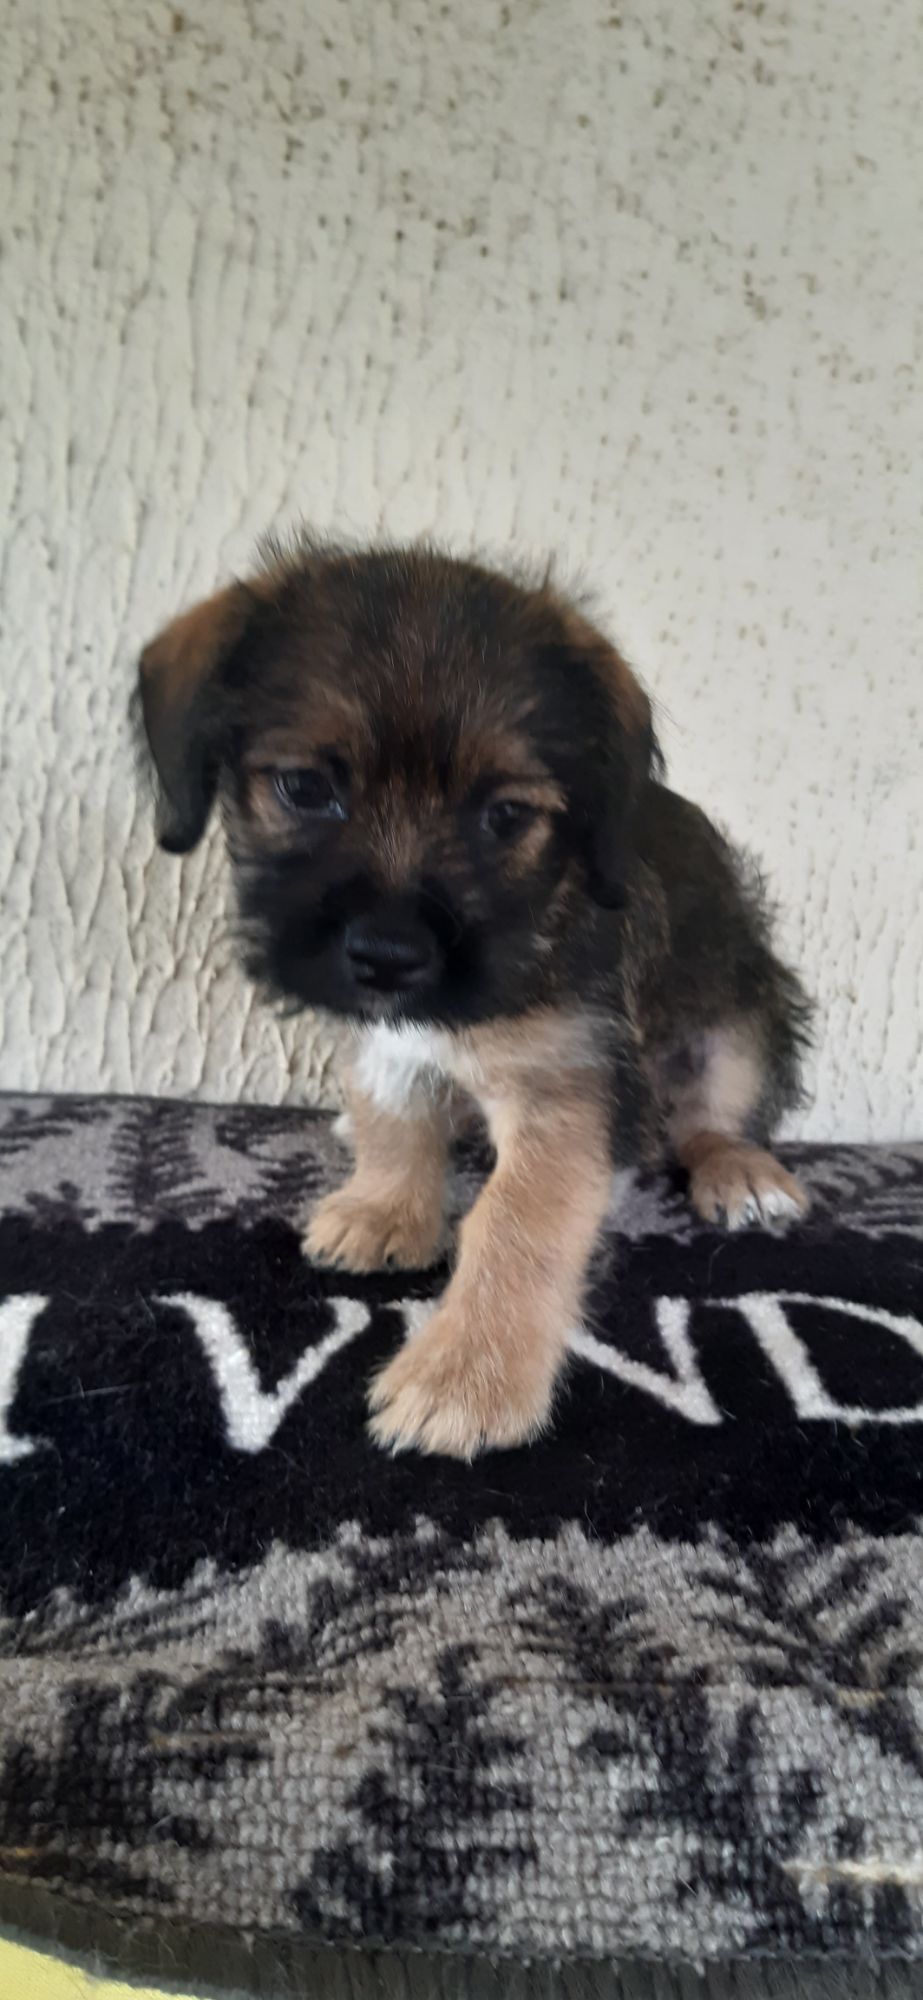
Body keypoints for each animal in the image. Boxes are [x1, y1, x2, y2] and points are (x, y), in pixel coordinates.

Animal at [138, 534, 812, 1458]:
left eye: (504, 815)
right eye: (305, 788)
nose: (388, 955)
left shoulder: (567, 1085)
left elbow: (515, 1220)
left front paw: (465, 1376)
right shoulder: (384, 1047)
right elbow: (395, 1117)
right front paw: (385, 1208)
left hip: (741, 1022)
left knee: (708, 1118)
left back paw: (738, 1171)